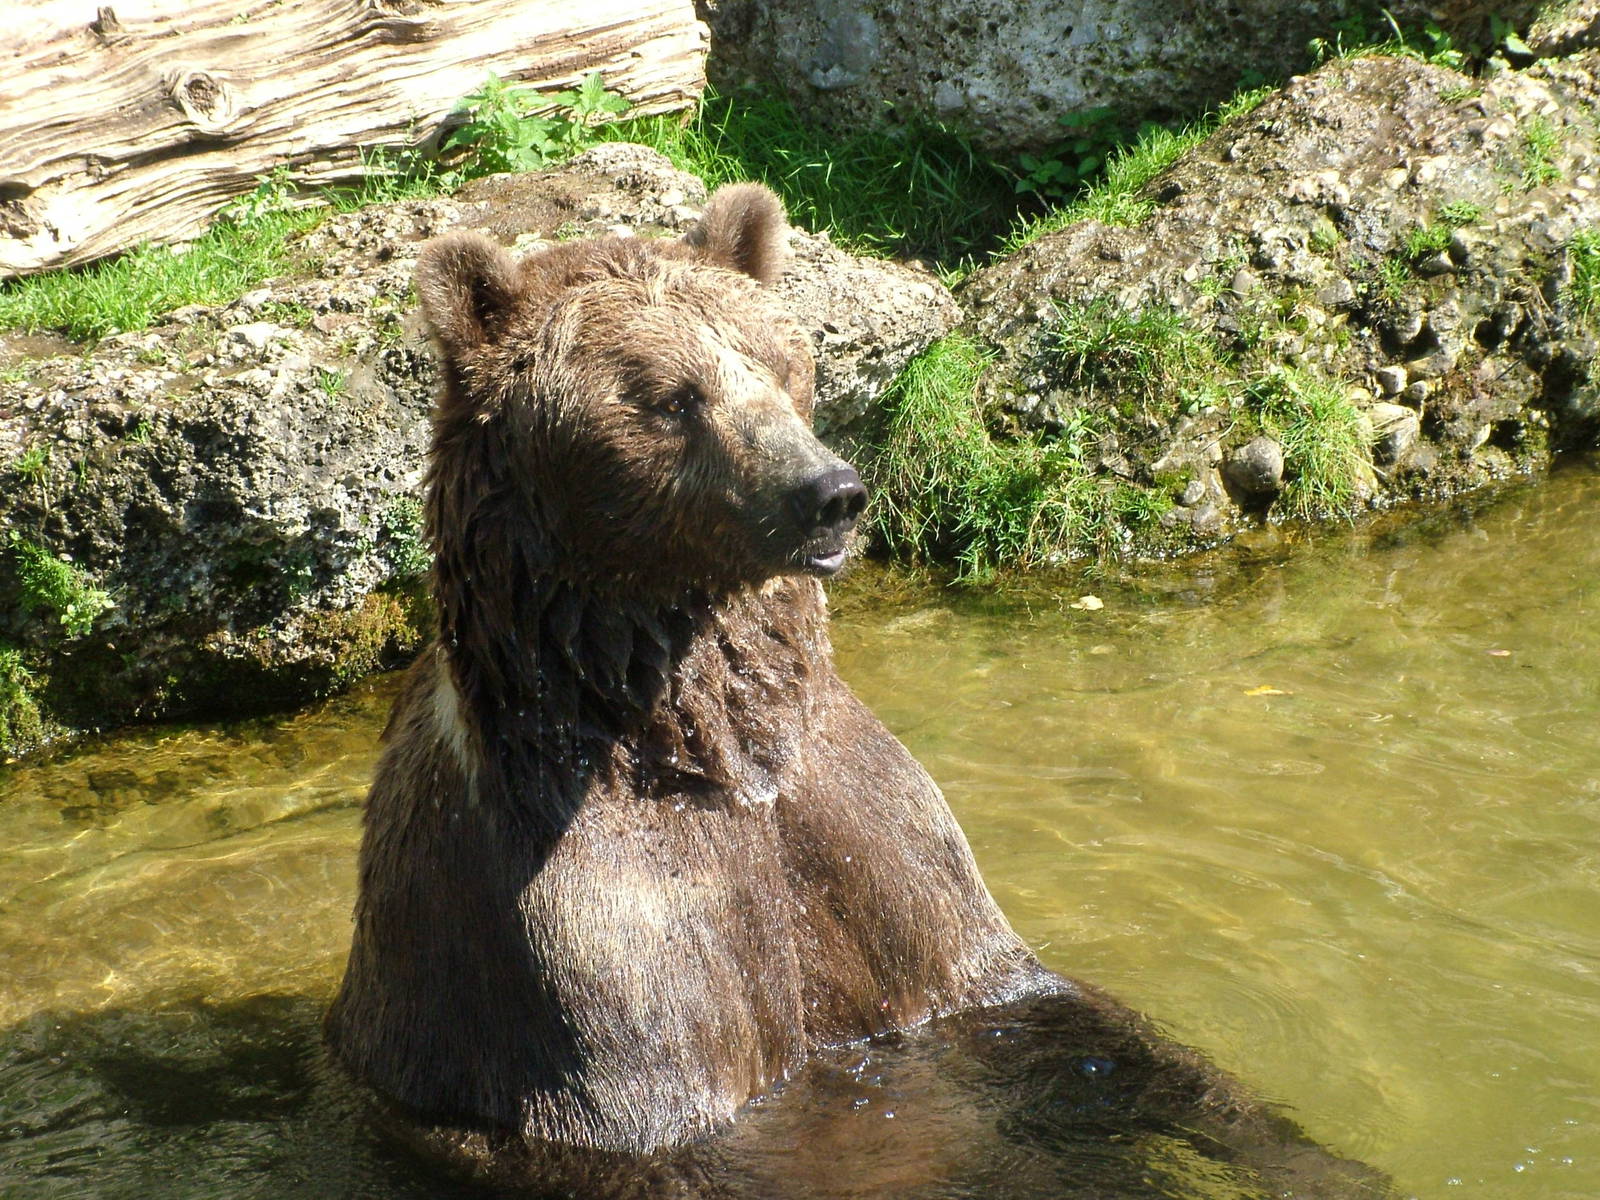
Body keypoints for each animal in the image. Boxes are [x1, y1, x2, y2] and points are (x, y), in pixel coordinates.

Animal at [324, 183, 1386, 1197]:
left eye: (775, 360)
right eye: (669, 397)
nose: (826, 492)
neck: (716, 750)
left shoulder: (876, 854)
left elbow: (1048, 1014)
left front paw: (1314, 1154)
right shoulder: (587, 944)